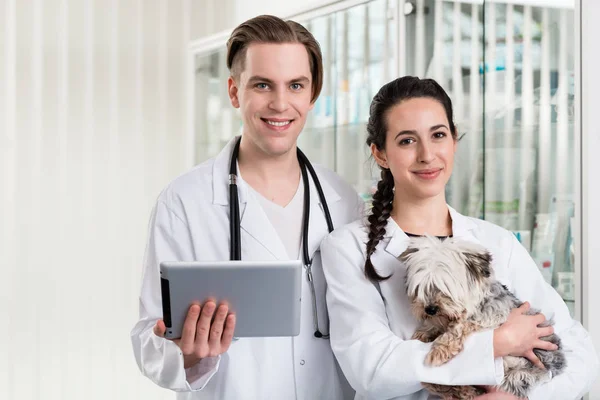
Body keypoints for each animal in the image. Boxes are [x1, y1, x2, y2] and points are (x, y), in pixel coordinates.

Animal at [400, 236, 564, 398]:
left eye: (445, 287)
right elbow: (436, 325)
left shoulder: (492, 314)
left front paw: (439, 350)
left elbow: (459, 327)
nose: (430, 309)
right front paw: (423, 333)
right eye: (420, 288)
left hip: (516, 374)